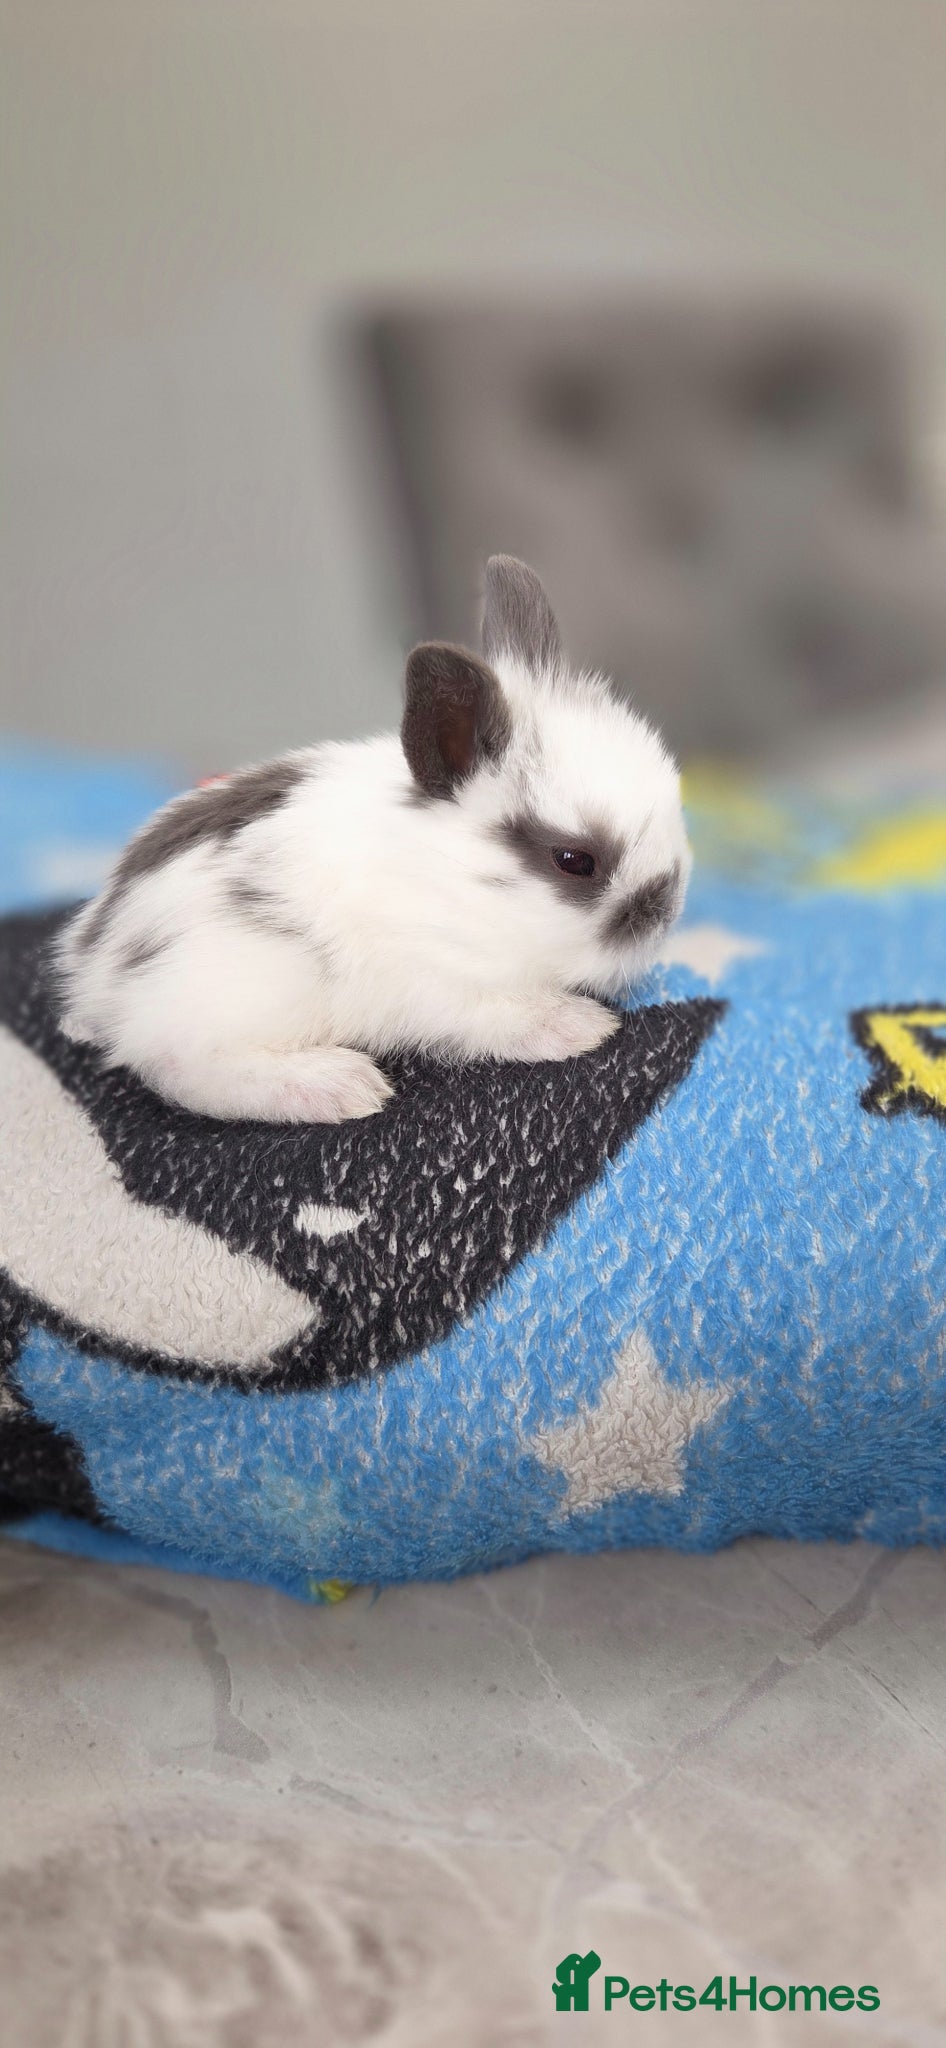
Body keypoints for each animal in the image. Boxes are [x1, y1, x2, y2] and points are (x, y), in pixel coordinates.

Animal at [56, 555, 691, 1123]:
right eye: (574, 861)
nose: (664, 914)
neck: (451, 881)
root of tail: (95, 969)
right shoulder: (438, 985)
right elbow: (501, 1014)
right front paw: (582, 1027)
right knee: (179, 1067)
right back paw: (338, 1087)